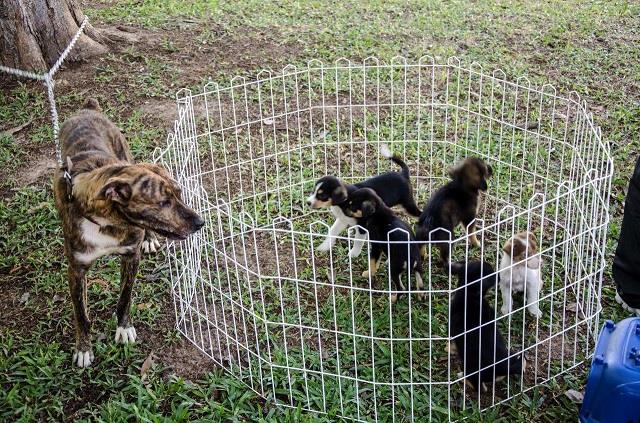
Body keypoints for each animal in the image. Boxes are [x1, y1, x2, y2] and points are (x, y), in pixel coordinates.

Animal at [55, 98, 206, 368]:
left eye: (179, 193)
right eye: (163, 203)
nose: (200, 222)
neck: (106, 221)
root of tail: (88, 109)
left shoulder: (130, 255)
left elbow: (124, 297)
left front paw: (123, 328)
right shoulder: (76, 269)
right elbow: (81, 313)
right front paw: (83, 348)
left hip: (124, 152)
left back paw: (150, 239)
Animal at [450, 262, 524, 394]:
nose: (500, 276)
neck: (471, 296)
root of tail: (500, 366)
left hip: (471, 369)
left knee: (479, 387)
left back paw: (462, 378)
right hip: (510, 355)